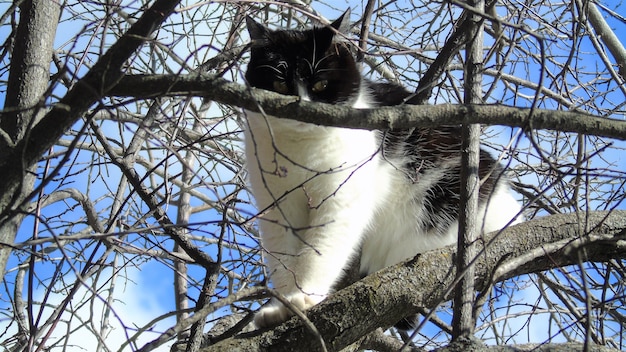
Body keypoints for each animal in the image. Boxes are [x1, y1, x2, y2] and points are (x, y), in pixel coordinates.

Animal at [241, 11, 520, 330]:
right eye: (280, 85)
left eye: (321, 85)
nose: (302, 110)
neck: (301, 151)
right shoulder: (277, 206)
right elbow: (283, 259)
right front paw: (282, 305)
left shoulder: (342, 199)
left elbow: (319, 252)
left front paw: (303, 298)